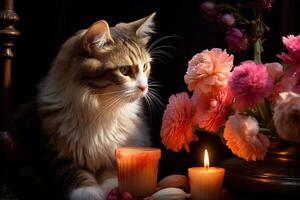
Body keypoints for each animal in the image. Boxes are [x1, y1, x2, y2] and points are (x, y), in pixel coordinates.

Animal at [35, 13, 156, 199]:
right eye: (125, 70)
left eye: (145, 66)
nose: (144, 87)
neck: (101, 108)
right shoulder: (58, 154)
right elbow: (77, 175)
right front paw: (88, 192)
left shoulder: (114, 151)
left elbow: (111, 173)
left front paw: (113, 189)